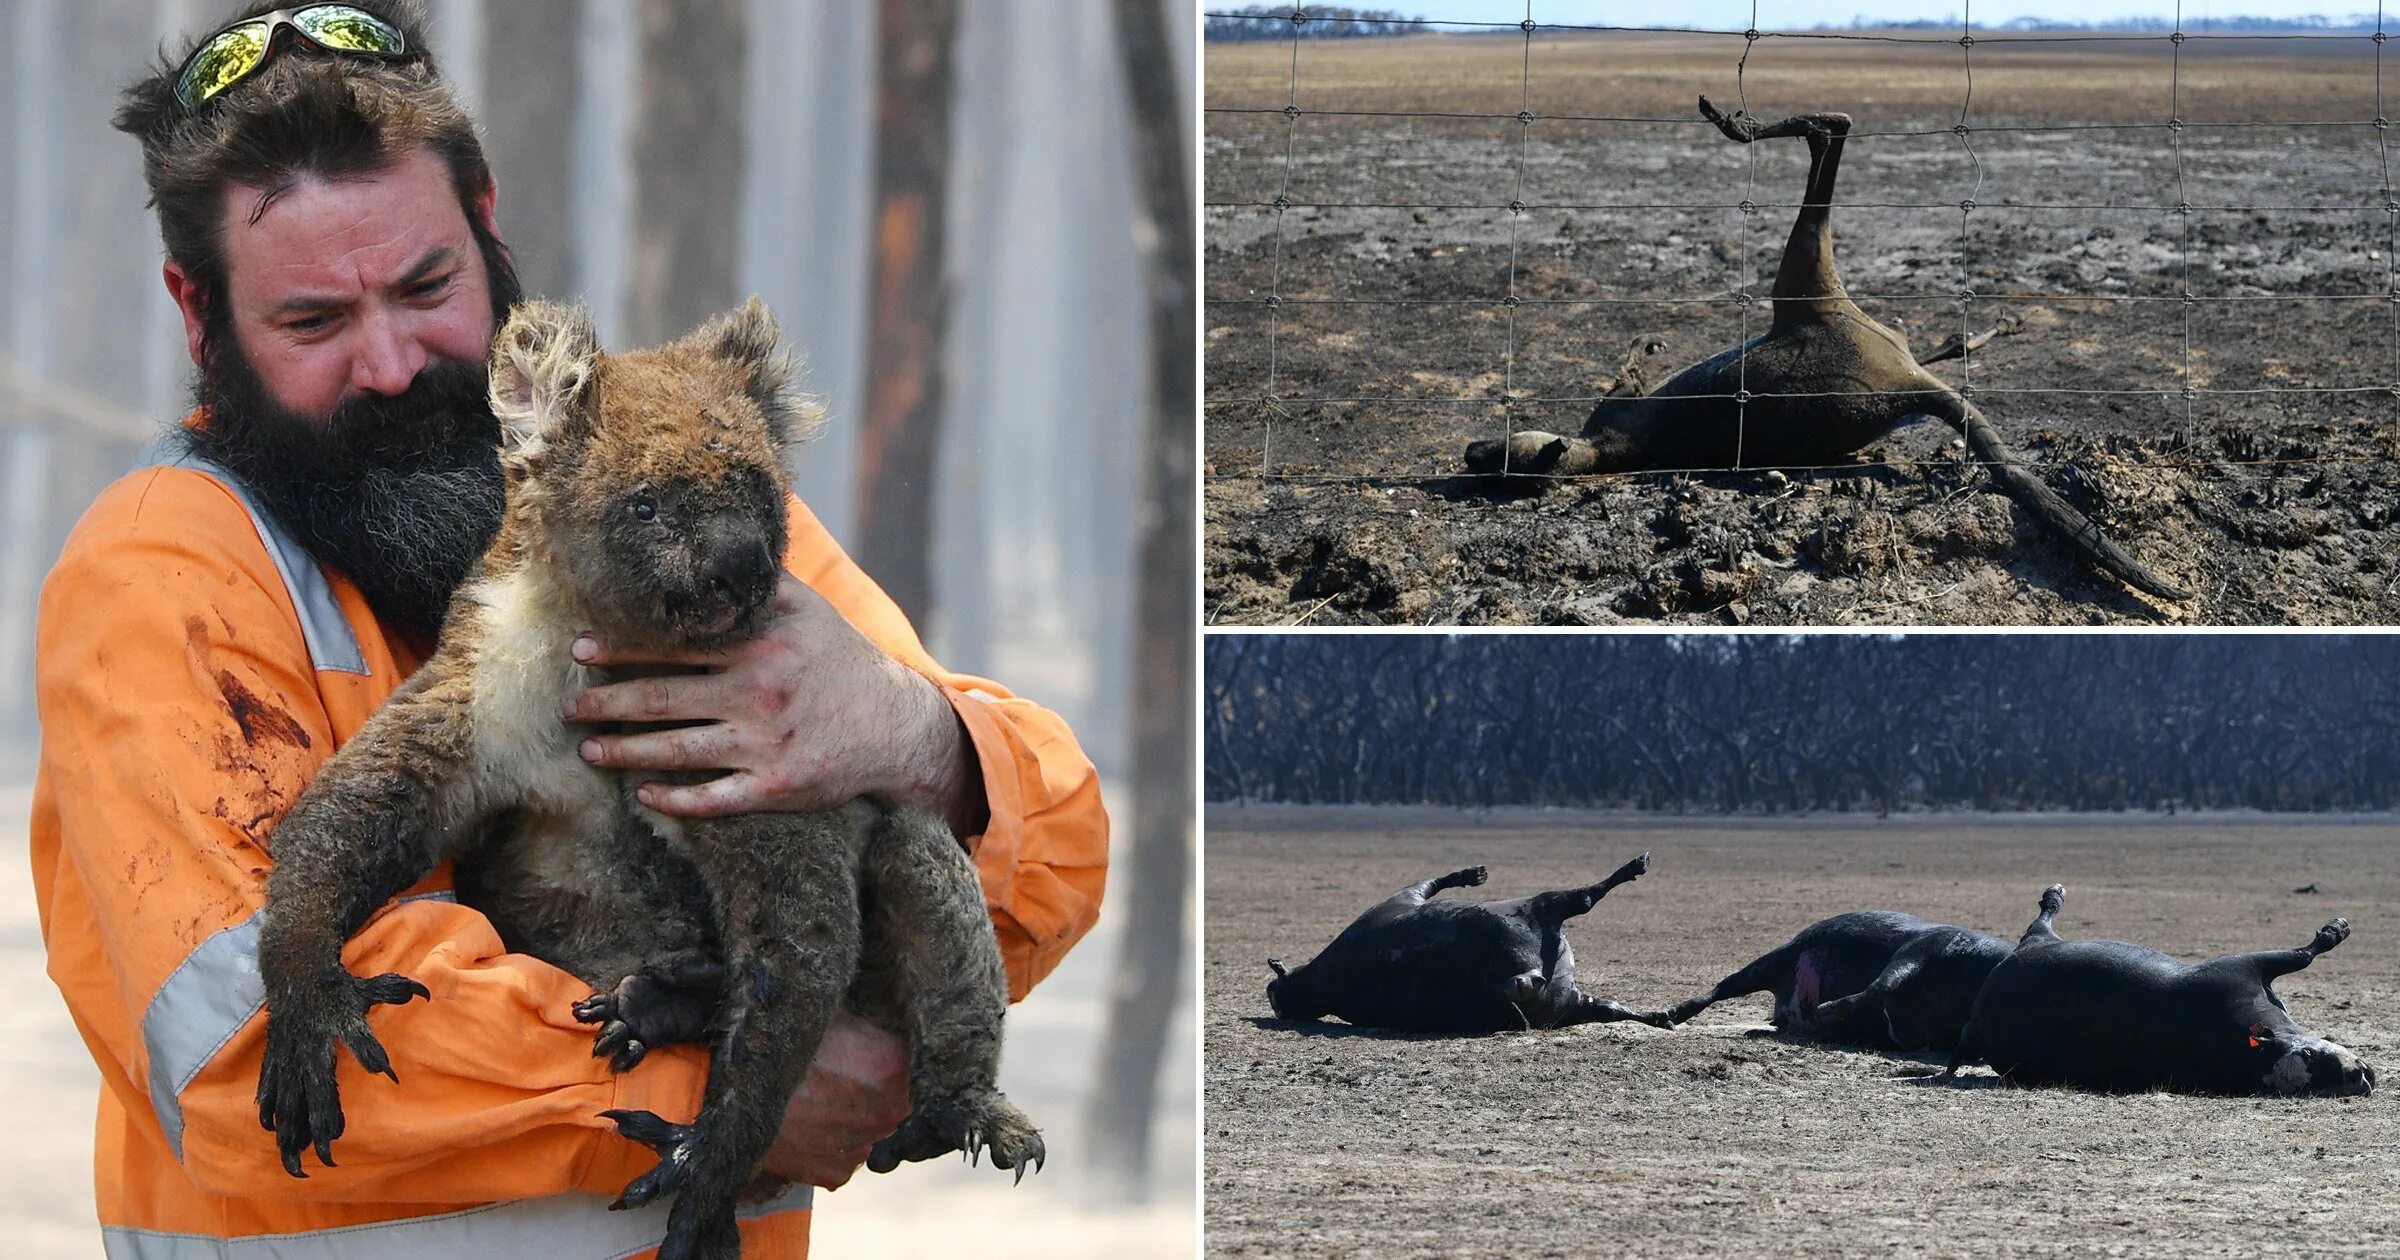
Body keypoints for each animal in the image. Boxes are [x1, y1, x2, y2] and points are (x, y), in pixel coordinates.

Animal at [1257, 854, 1670, 1032]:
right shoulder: (1405, 896)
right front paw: (1472, 874)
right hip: (1547, 908)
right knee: (1585, 898)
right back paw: (1634, 866)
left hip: (1572, 1002)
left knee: (1618, 1010)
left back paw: (1674, 1012)